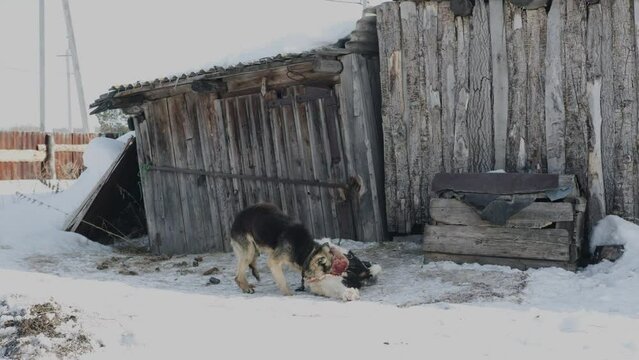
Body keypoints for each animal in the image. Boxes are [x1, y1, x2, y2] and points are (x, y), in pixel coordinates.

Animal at [230, 202, 380, 300]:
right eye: (331, 271)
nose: (346, 274)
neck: (307, 250)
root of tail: (237, 218)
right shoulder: (274, 261)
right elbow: (282, 281)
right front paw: (288, 294)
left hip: (253, 249)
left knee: (244, 268)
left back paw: (247, 283)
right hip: (249, 251)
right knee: (238, 275)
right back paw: (245, 287)